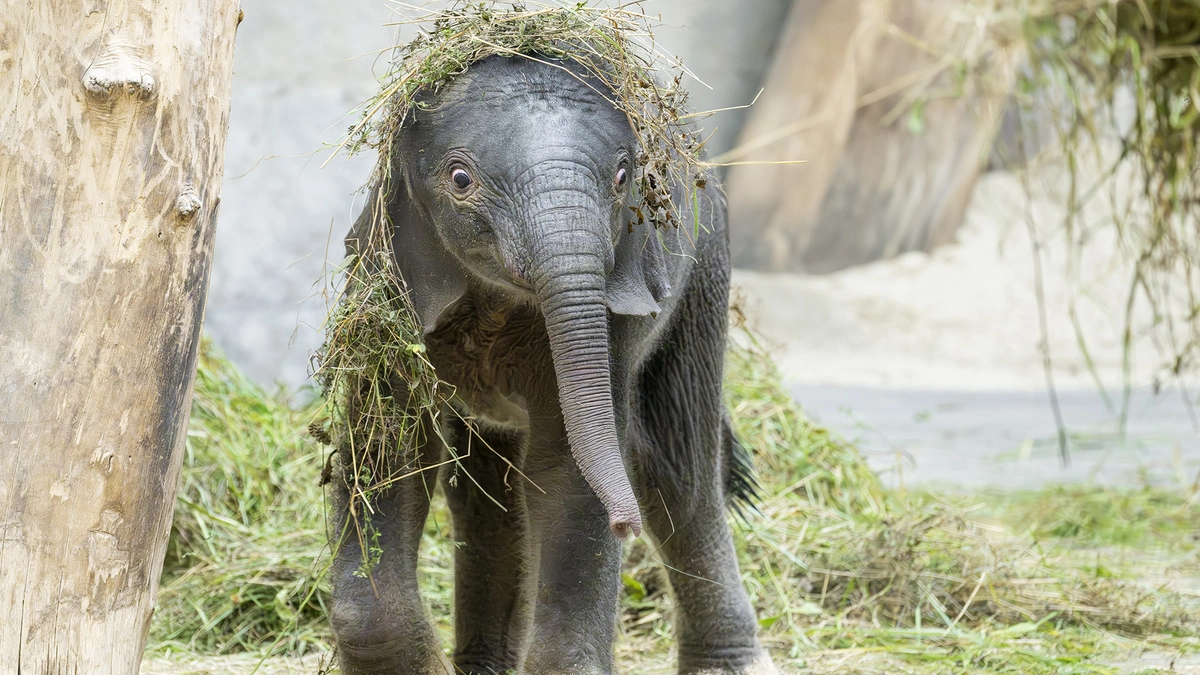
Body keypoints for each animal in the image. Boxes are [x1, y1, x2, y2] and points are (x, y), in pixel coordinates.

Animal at [328, 54, 779, 675]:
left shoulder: (614, 318)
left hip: (706, 265)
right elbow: (391, 454)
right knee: (489, 500)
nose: (623, 524)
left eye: (623, 178)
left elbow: (567, 475)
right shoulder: (387, 283)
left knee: (675, 473)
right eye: (460, 180)